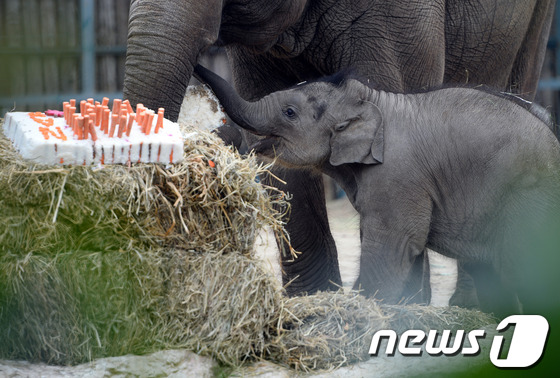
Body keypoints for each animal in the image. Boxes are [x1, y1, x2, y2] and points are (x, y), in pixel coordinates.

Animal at [194, 65, 560, 316]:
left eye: (289, 112)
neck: (372, 100)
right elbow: (408, 250)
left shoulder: (397, 176)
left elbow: (394, 243)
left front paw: (361, 313)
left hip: (529, 197)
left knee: (523, 268)